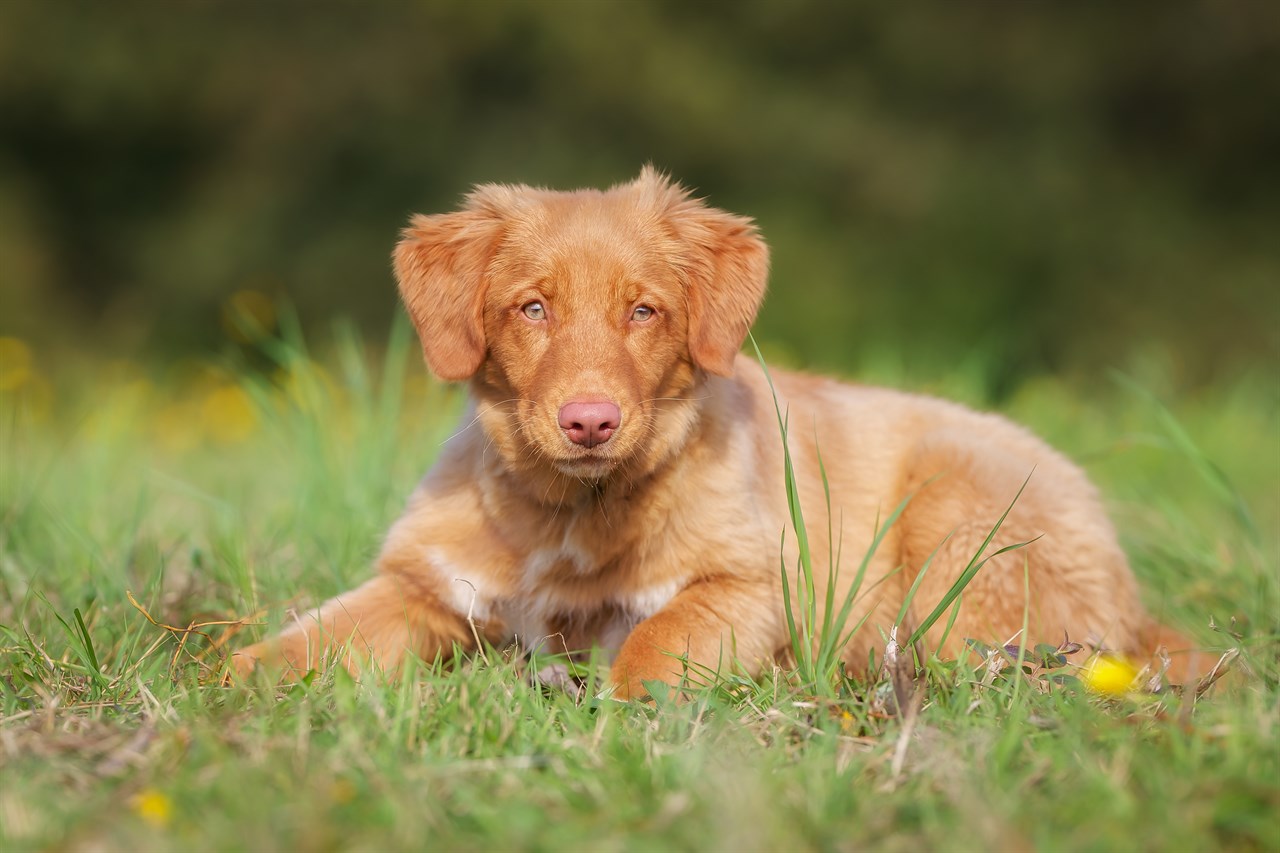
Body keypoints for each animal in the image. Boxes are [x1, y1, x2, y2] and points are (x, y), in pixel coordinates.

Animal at [232, 167, 1198, 696]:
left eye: (644, 310)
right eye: (533, 308)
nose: (590, 421)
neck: (567, 510)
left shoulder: (747, 583)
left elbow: (650, 650)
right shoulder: (424, 585)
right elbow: (303, 640)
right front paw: (220, 688)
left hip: (960, 534)